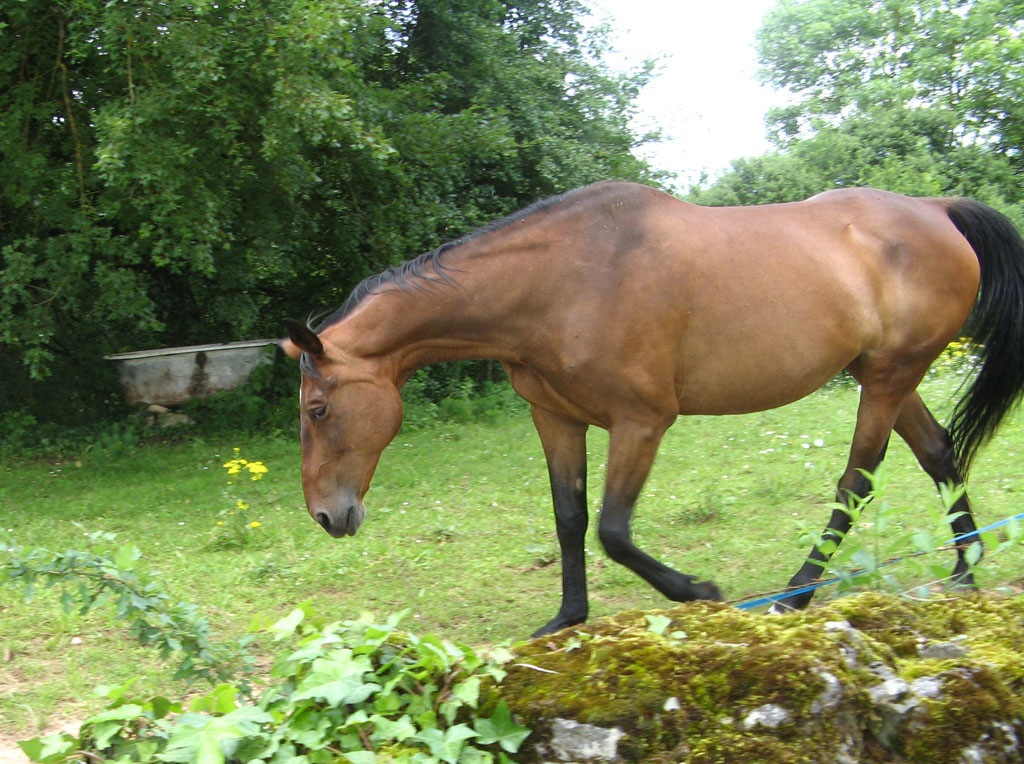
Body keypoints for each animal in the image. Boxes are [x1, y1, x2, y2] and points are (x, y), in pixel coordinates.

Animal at [281, 180, 1024, 636]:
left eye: (317, 409)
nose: (326, 515)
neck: (561, 282)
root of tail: (935, 209)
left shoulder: (641, 423)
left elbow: (613, 529)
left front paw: (699, 593)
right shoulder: (557, 419)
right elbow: (570, 519)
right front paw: (567, 618)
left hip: (890, 378)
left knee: (856, 483)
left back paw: (796, 594)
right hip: (886, 376)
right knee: (939, 454)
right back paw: (965, 571)